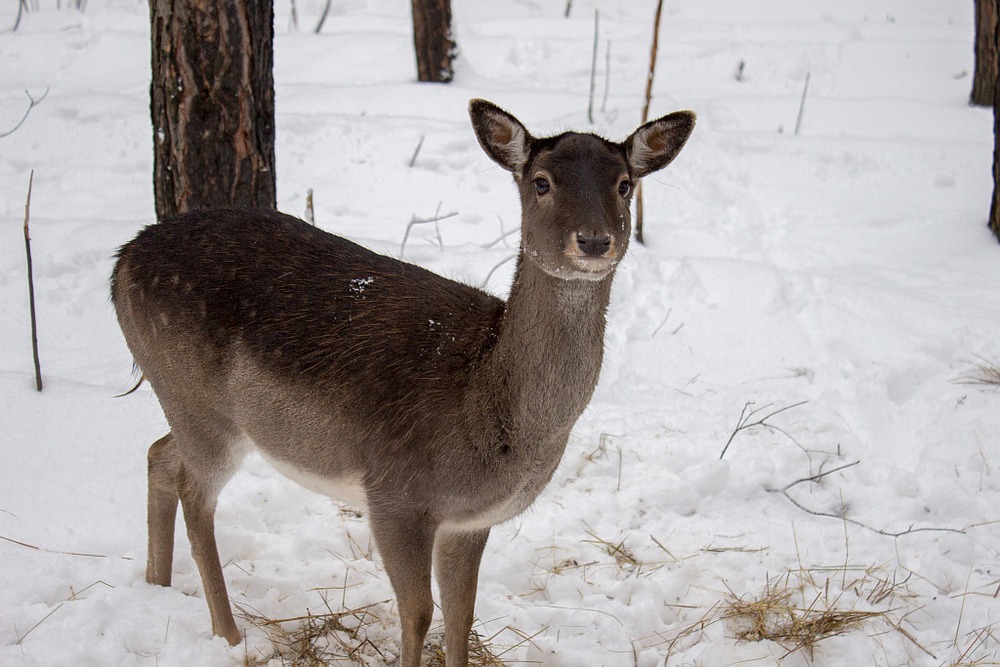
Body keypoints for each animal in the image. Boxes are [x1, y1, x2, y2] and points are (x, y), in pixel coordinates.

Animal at [111, 99, 696, 667]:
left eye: (624, 184)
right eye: (541, 181)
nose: (594, 241)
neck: (485, 408)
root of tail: (121, 262)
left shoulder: (468, 521)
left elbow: (461, 614)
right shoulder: (394, 494)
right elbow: (417, 613)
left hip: (186, 401)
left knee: (159, 454)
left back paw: (156, 587)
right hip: (199, 401)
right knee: (195, 494)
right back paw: (230, 636)